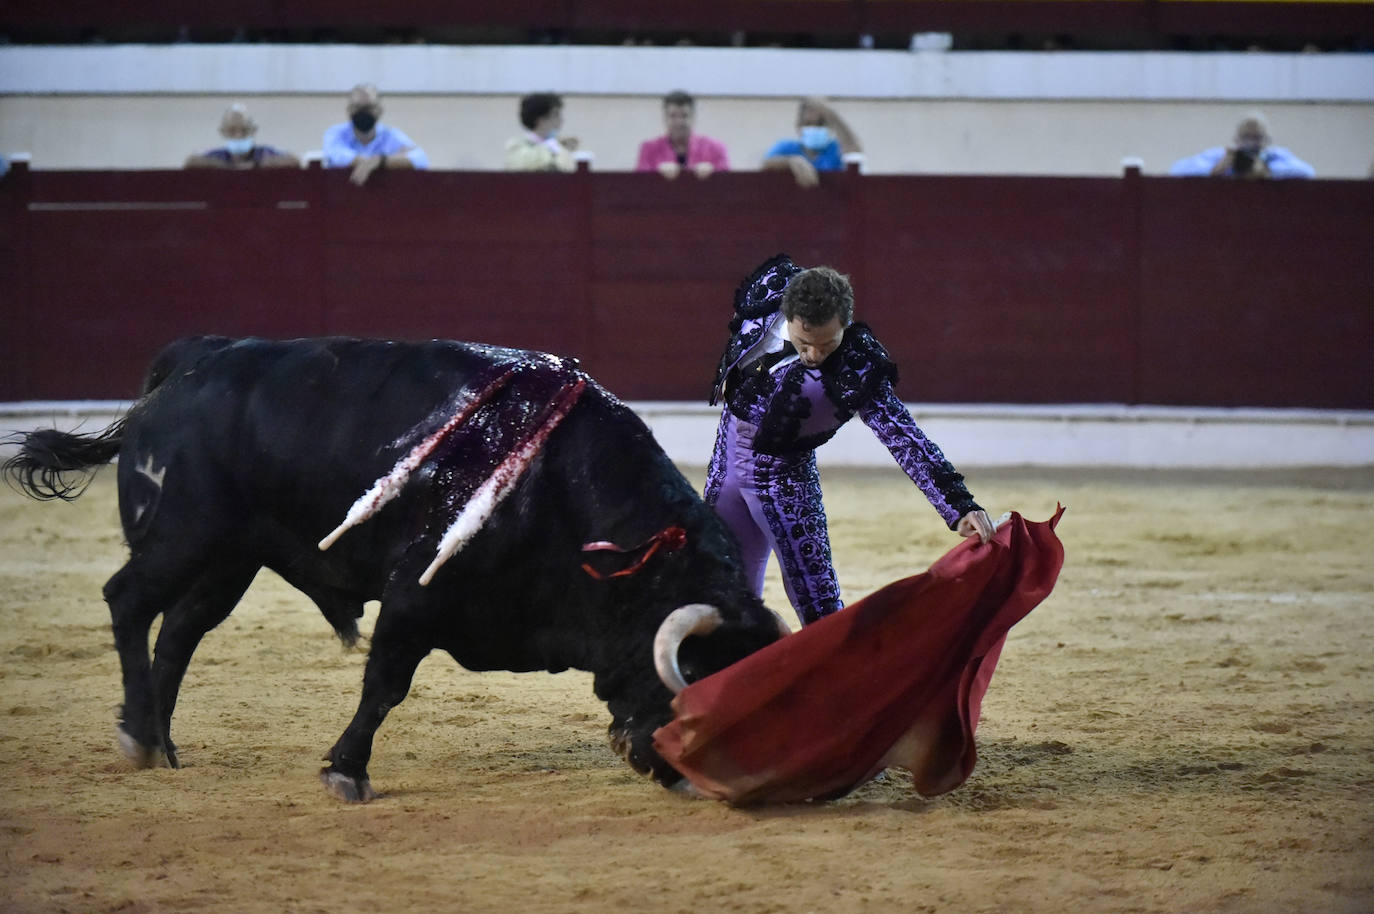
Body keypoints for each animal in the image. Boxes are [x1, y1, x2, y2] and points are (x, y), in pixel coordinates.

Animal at [5, 335, 785, 797]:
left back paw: (164, 745)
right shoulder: (413, 594)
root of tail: (195, 360)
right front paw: (345, 772)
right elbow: (385, 685)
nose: (688, 776)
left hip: (230, 559)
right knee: (129, 602)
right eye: (699, 678)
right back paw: (138, 736)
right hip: (181, 537)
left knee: (178, 632)